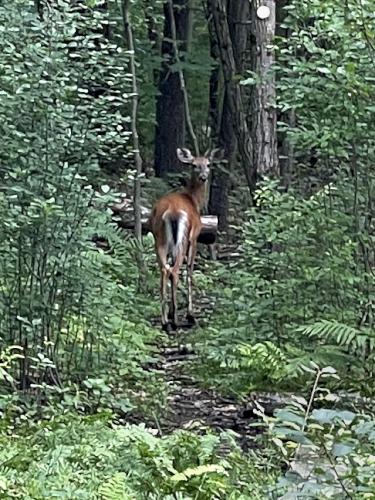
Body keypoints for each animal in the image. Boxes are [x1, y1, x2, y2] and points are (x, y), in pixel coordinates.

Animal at [151, 146, 220, 330]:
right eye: (194, 165)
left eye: (208, 164)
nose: (203, 177)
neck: (193, 200)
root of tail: (171, 212)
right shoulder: (194, 237)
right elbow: (189, 271)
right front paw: (190, 315)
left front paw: (170, 312)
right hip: (181, 240)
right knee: (174, 271)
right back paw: (175, 321)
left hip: (159, 239)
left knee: (164, 270)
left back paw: (165, 321)